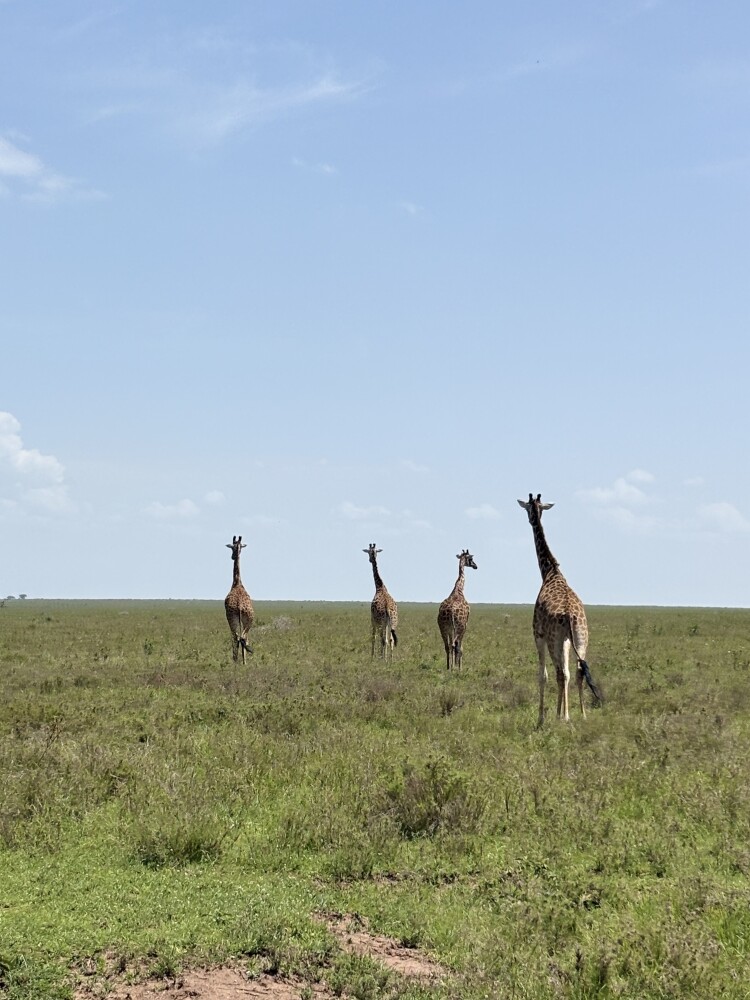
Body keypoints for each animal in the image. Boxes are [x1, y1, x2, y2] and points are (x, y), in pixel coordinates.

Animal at [517, 494, 602, 727]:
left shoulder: (538, 634)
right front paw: (561, 713)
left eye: (527, 508)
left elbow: (543, 675)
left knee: (561, 672)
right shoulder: (566, 639)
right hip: (581, 637)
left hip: (554, 638)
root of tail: (571, 615)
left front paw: (543, 717)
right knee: (578, 670)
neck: (550, 572)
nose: (530, 519)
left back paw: (564, 717)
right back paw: (581, 715)